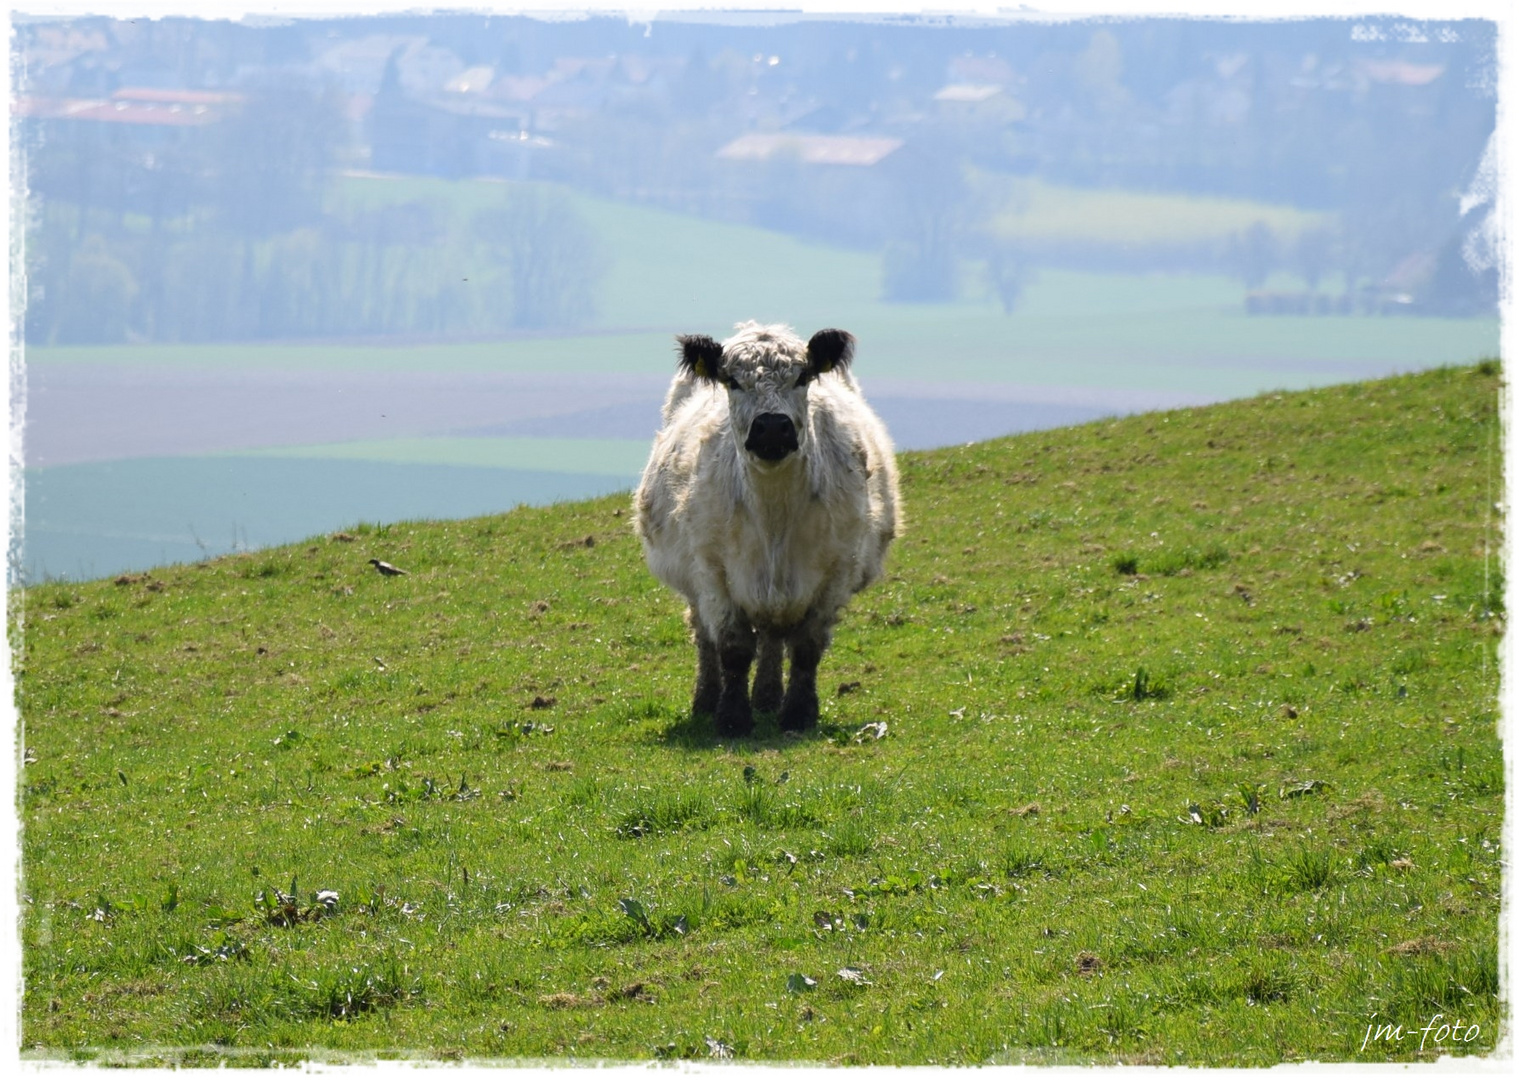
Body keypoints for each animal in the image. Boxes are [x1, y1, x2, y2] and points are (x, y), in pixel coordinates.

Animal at [631, 320, 893, 738]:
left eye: (802, 377)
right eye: (732, 381)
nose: (772, 427)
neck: (774, 518)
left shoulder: (837, 571)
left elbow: (806, 647)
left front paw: (798, 714)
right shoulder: (713, 572)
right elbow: (733, 649)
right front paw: (732, 717)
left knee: (772, 637)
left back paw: (768, 697)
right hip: (693, 584)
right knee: (704, 636)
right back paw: (707, 699)